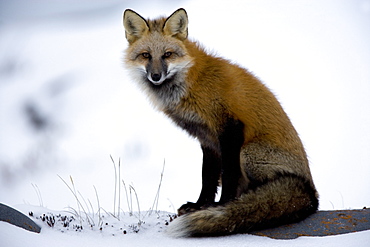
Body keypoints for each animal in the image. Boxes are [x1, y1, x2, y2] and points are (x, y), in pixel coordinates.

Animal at [123, 8, 318, 237]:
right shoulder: (207, 138)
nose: (155, 76)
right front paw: (199, 206)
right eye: (146, 55)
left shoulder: (230, 128)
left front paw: (223, 206)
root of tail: (313, 196)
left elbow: (228, 175)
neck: (192, 82)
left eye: (167, 54)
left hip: (247, 153)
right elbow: (207, 177)